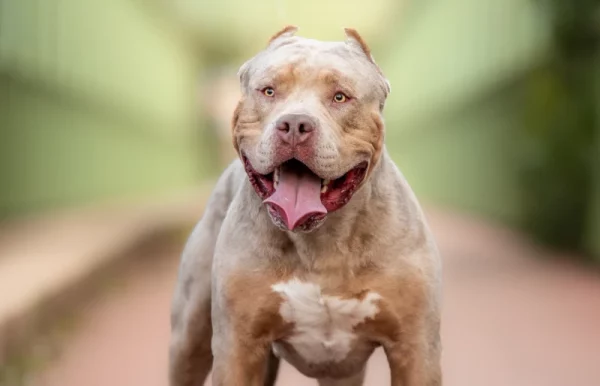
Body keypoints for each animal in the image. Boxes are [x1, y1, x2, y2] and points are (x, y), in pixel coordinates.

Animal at [169, 25, 440, 384]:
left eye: (340, 97)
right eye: (269, 91)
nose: (295, 125)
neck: (322, 242)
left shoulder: (416, 348)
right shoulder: (238, 348)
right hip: (189, 338)